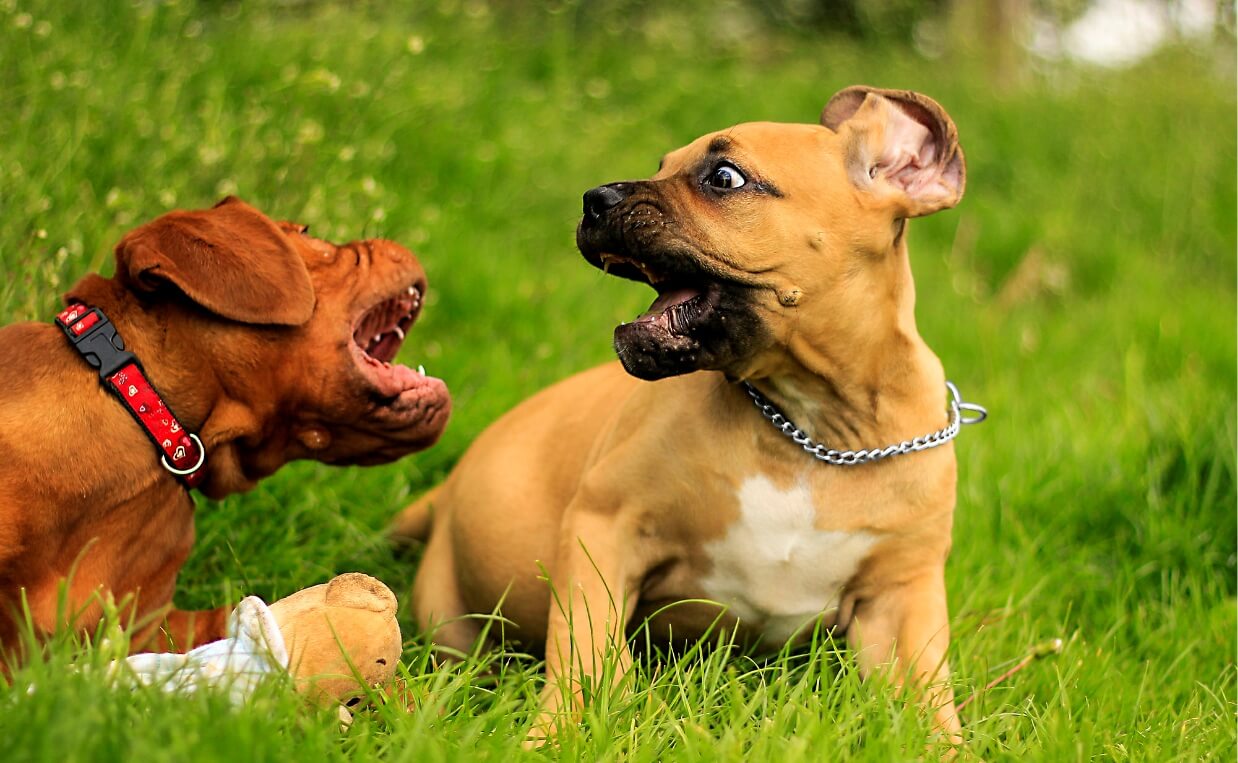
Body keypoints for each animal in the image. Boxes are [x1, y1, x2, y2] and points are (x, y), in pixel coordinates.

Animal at [393, 86, 975, 743]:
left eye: (724, 177)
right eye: (663, 163)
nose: (595, 199)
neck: (810, 425)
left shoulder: (901, 599)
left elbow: (931, 711)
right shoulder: (605, 526)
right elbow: (587, 647)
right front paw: (558, 732)